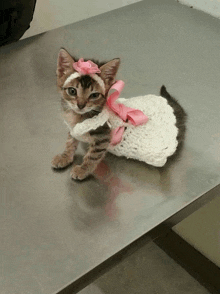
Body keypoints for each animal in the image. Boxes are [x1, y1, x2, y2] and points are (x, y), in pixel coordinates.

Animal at [51, 48, 120, 179]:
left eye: (94, 95)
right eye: (72, 91)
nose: (81, 105)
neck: (77, 117)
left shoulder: (103, 137)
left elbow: (92, 156)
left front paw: (83, 169)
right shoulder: (73, 129)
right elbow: (70, 142)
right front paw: (65, 157)